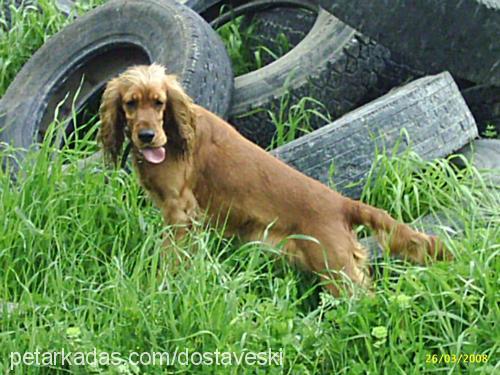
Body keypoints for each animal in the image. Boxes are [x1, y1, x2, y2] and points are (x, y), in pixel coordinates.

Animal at [98, 63, 454, 296]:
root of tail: (342, 203)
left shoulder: (179, 211)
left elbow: (170, 257)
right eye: (130, 103)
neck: (174, 131)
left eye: (159, 102)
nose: (146, 136)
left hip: (336, 270)